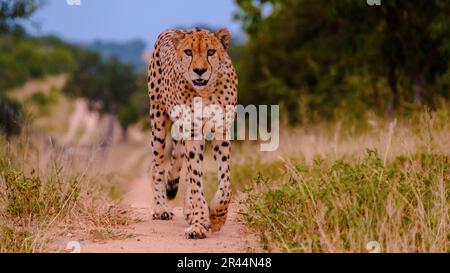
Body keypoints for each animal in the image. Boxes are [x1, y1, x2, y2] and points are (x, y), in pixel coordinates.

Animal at [148, 28, 239, 238]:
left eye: (211, 52)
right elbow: (196, 180)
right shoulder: (192, 133)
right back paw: (160, 207)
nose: (199, 70)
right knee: (157, 165)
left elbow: (225, 183)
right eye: (188, 52)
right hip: (158, 118)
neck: (206, 91)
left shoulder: (221, 132)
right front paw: (199, 223)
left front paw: (216, 216)